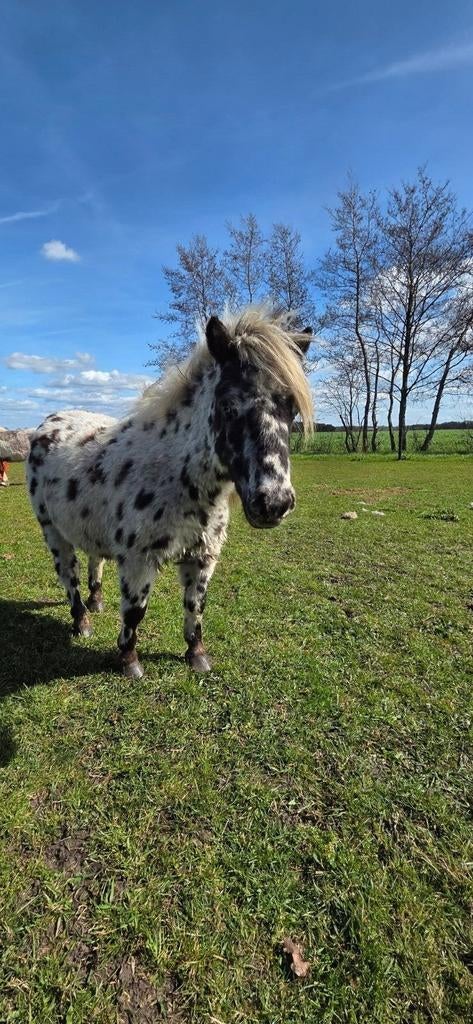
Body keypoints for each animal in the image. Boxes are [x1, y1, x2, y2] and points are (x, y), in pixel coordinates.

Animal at [27, 308, 313, 678]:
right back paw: (82, 622)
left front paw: (197, 656)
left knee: (94, 561)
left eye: (292, 409)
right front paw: (129, 661)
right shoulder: (138, 560)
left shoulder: (202, 557)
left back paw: (97, 602)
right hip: (53, 531)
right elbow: (135, 611)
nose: (274, 503)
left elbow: (196, 606)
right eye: (229, 406)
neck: (177, 477)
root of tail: (49, 421)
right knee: (68, 575)